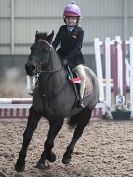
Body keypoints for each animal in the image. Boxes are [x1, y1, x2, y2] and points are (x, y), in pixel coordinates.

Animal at [15, 31, 99, 172]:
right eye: (32, 48)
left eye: (45, 50)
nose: (29, 67)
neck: (49, 88)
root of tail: (92, 74)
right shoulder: (35, 112)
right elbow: (28, 136)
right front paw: (20, 163)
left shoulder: (58, 119)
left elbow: (49, 142)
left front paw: (52, 156)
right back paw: (42, 161)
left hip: (86, 112)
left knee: (77, 133)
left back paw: (66, 156)